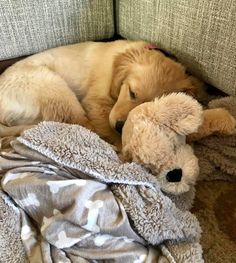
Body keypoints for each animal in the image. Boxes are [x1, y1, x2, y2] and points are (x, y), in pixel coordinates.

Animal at [0, 40, 203, 150]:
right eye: (131, 93)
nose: (120, 126)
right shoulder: (95, 101)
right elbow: (106, 125)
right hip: (54, 87)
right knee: (82, 126)